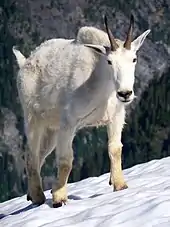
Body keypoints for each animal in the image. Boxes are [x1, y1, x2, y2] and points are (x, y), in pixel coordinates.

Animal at [12, 14, 150, 207]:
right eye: (109, 61)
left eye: (134, 59)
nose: (125, 93)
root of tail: (25, 62)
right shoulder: (68, 122)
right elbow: (65, 160)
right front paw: (59, 198)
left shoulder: (116, 116)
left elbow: (115, 148)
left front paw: (120, 185)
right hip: (33, 118)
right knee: (31, 154)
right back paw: (38, 196)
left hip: (51, 128)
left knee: (40, 154)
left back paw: (31, 195)